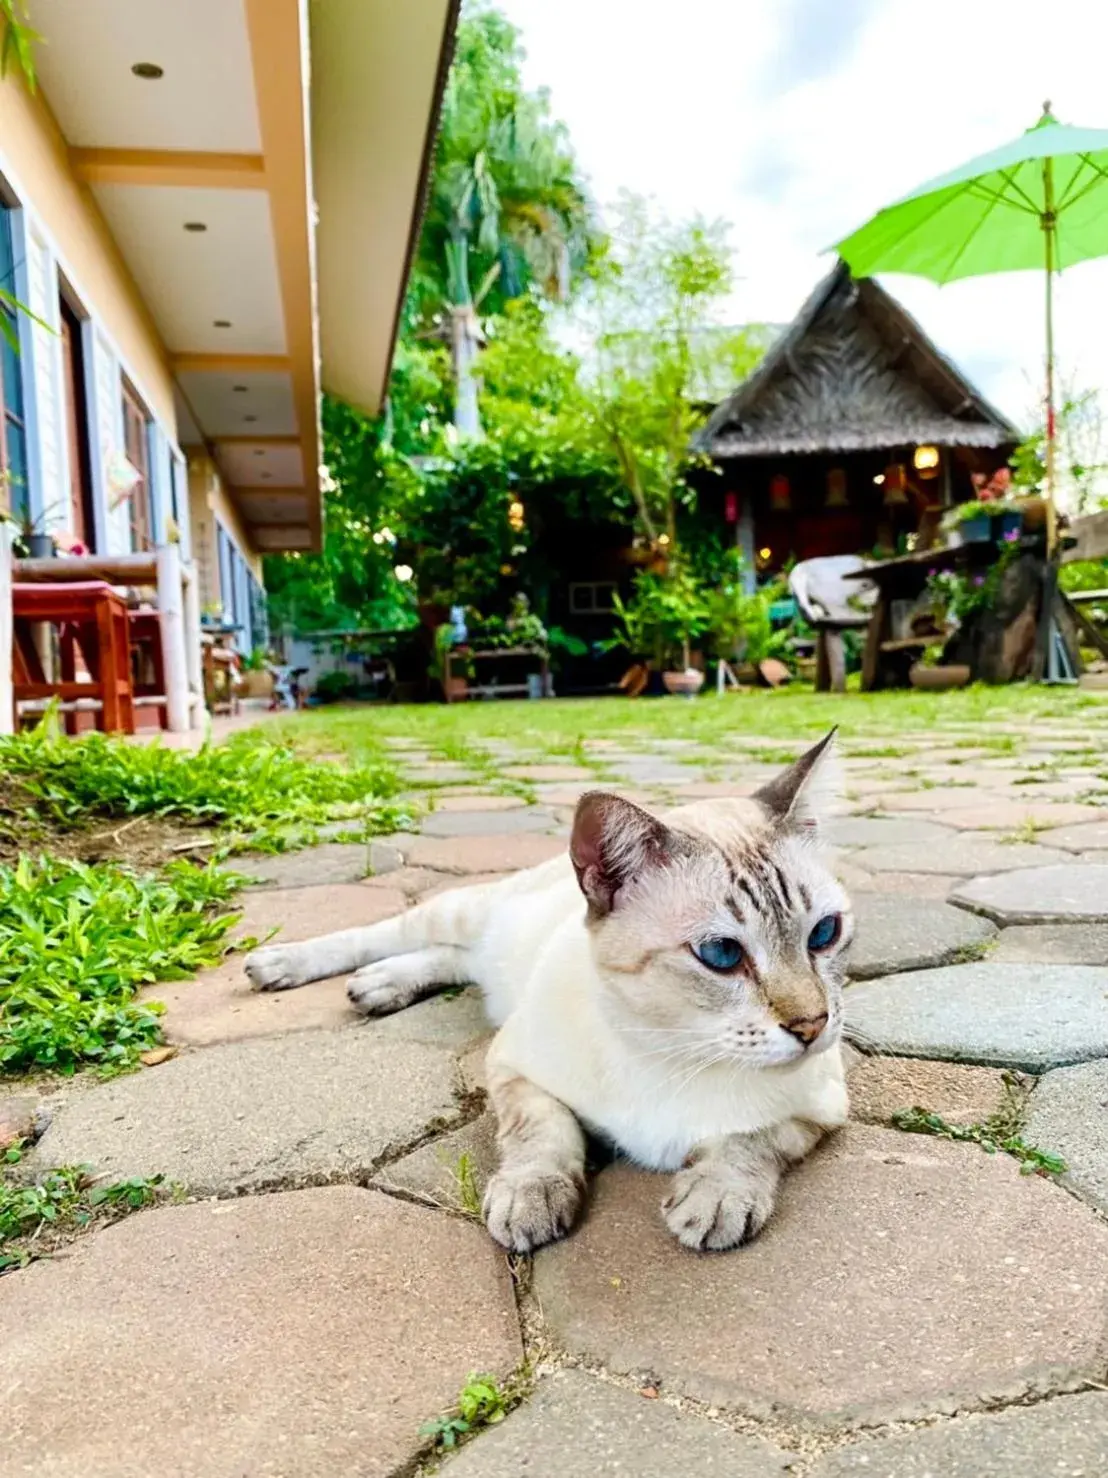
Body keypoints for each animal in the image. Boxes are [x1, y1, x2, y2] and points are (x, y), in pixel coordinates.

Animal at [245, 733, 850, 1253]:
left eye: (825, 933)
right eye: (721, 954)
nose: (812, 1025)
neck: (672, 1051)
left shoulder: (821, 1108)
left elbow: (750, 1140)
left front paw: (717, 1194)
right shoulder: (513, 1066)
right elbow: (545, 1132)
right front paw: (531, 1196)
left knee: (453, 959)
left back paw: (380, 986)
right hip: (462, 914)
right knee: (391, 935)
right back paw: (283, 965)